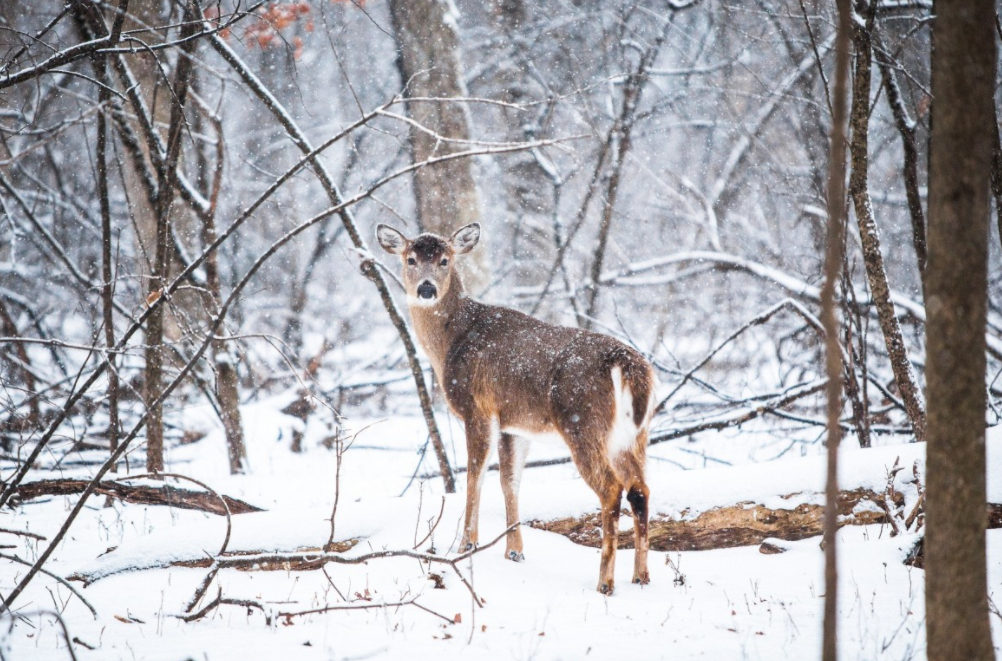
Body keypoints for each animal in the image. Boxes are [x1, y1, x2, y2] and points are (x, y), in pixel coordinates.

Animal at [376, 222, 657, 592]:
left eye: (444, 260)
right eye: (410, 259)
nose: (426, 288)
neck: (451, 342)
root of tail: (627, 364)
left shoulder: (477, 408)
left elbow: (475, 475)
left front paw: (467, 545)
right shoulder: (514, 424)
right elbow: (509, 480)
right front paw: (514, 551)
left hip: (583, 422)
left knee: (612, 489)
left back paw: (605, 583)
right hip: (634, 434)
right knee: (640, 489)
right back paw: (641, 576)